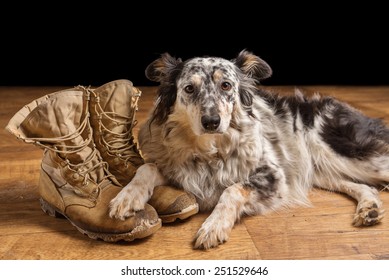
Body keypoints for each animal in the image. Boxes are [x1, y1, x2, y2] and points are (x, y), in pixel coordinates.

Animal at [107, 49, 388, 248]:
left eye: (226, 85)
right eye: (189, 88)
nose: (211, 122)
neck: (210, 151)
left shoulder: (274, 176)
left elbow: (231, 189)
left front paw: (213, 226)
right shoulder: (179, 168)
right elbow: (147, 167)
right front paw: (126, 198)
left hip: (349, 155)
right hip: (321, 168)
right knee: (363, 186)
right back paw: (369, 209)